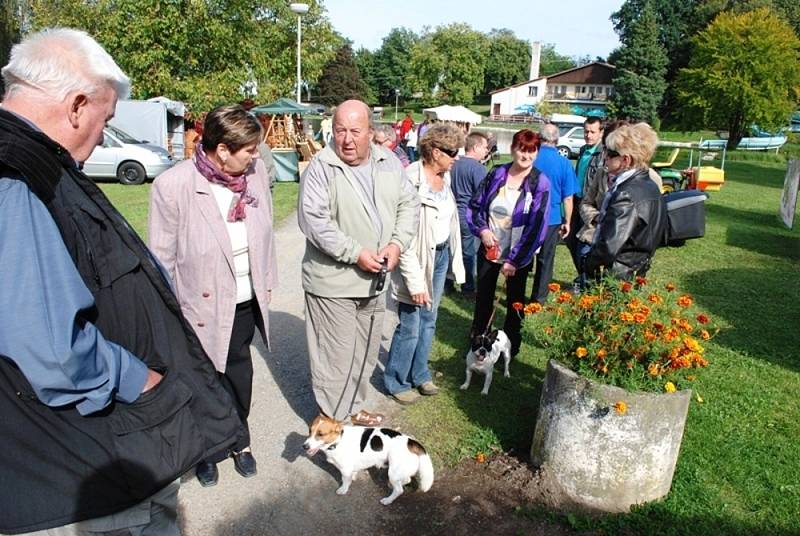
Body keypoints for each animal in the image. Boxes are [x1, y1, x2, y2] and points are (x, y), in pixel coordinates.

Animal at [304, 414, 434, 506]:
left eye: (320, 434)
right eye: (309, 431)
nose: (304, 446)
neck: (338, 441)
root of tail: (411, 442)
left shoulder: (345, 470)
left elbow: (345, 481)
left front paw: (343, 489)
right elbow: (353, 474)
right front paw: (354, 477)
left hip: (393, 472)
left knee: (399, 490)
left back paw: (387, 500)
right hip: (399, 471)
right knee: (406, 480)